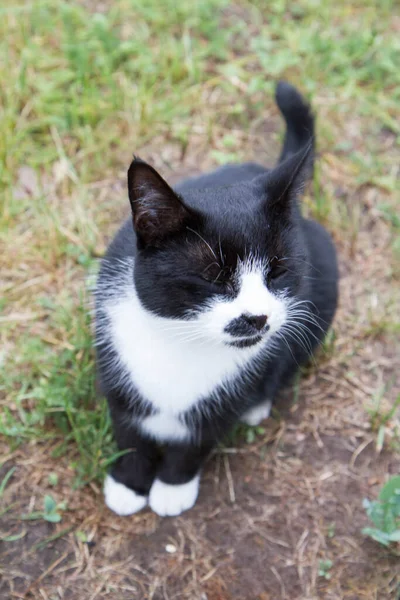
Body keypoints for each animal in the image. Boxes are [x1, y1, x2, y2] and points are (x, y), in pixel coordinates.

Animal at [93, 82, 338, 516]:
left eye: (278, 271)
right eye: (213, 277)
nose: (257, 317)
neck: (182, 342)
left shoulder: (228, 395)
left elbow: (199, 438)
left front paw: (172, 487)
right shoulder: (117, 366)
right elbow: (129, 430)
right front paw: (127, 484)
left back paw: (259, 405)